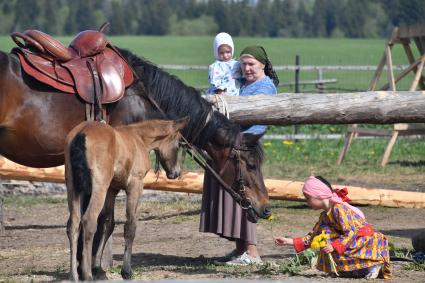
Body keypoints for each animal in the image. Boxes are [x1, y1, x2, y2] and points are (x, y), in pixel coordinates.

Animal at [64, 118, 186, 282]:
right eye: (178, 144)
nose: (176, 173)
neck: (139, 138)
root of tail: (81, 133)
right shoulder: (135, 186)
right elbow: (130, 225)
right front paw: (126, 271)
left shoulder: (112, 190)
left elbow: (108, 224)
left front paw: (98, 269)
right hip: (99, 187)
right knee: (89, 220)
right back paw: (87, 275)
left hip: (73, 188)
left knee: (73, 223)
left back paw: (74, 275)